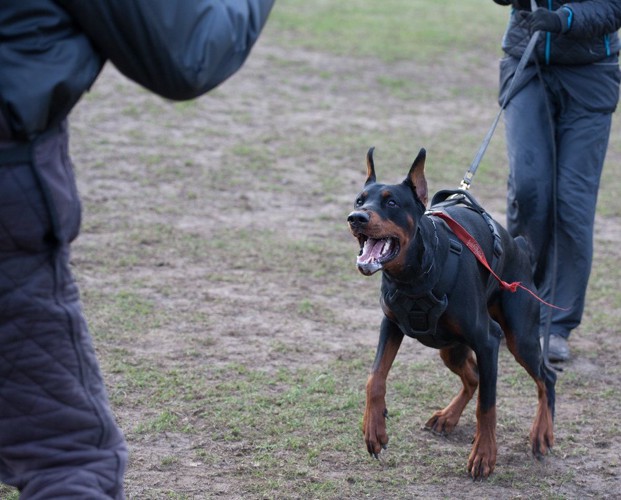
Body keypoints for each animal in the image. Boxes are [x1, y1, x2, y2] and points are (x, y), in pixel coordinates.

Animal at [346, 147, 556, 480]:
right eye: (359, 200)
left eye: (392, 202)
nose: (356, 218)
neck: (416, 275)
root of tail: (520, 246)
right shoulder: (390, 324)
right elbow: (375, 377)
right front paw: (374, 430)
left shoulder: (488, 341)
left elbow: (487, 405)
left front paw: (484, 455)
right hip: (450, 347)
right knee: (472, 376)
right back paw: (447, 417)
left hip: (518, 337)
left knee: (546, 377)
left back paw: (541, 433)